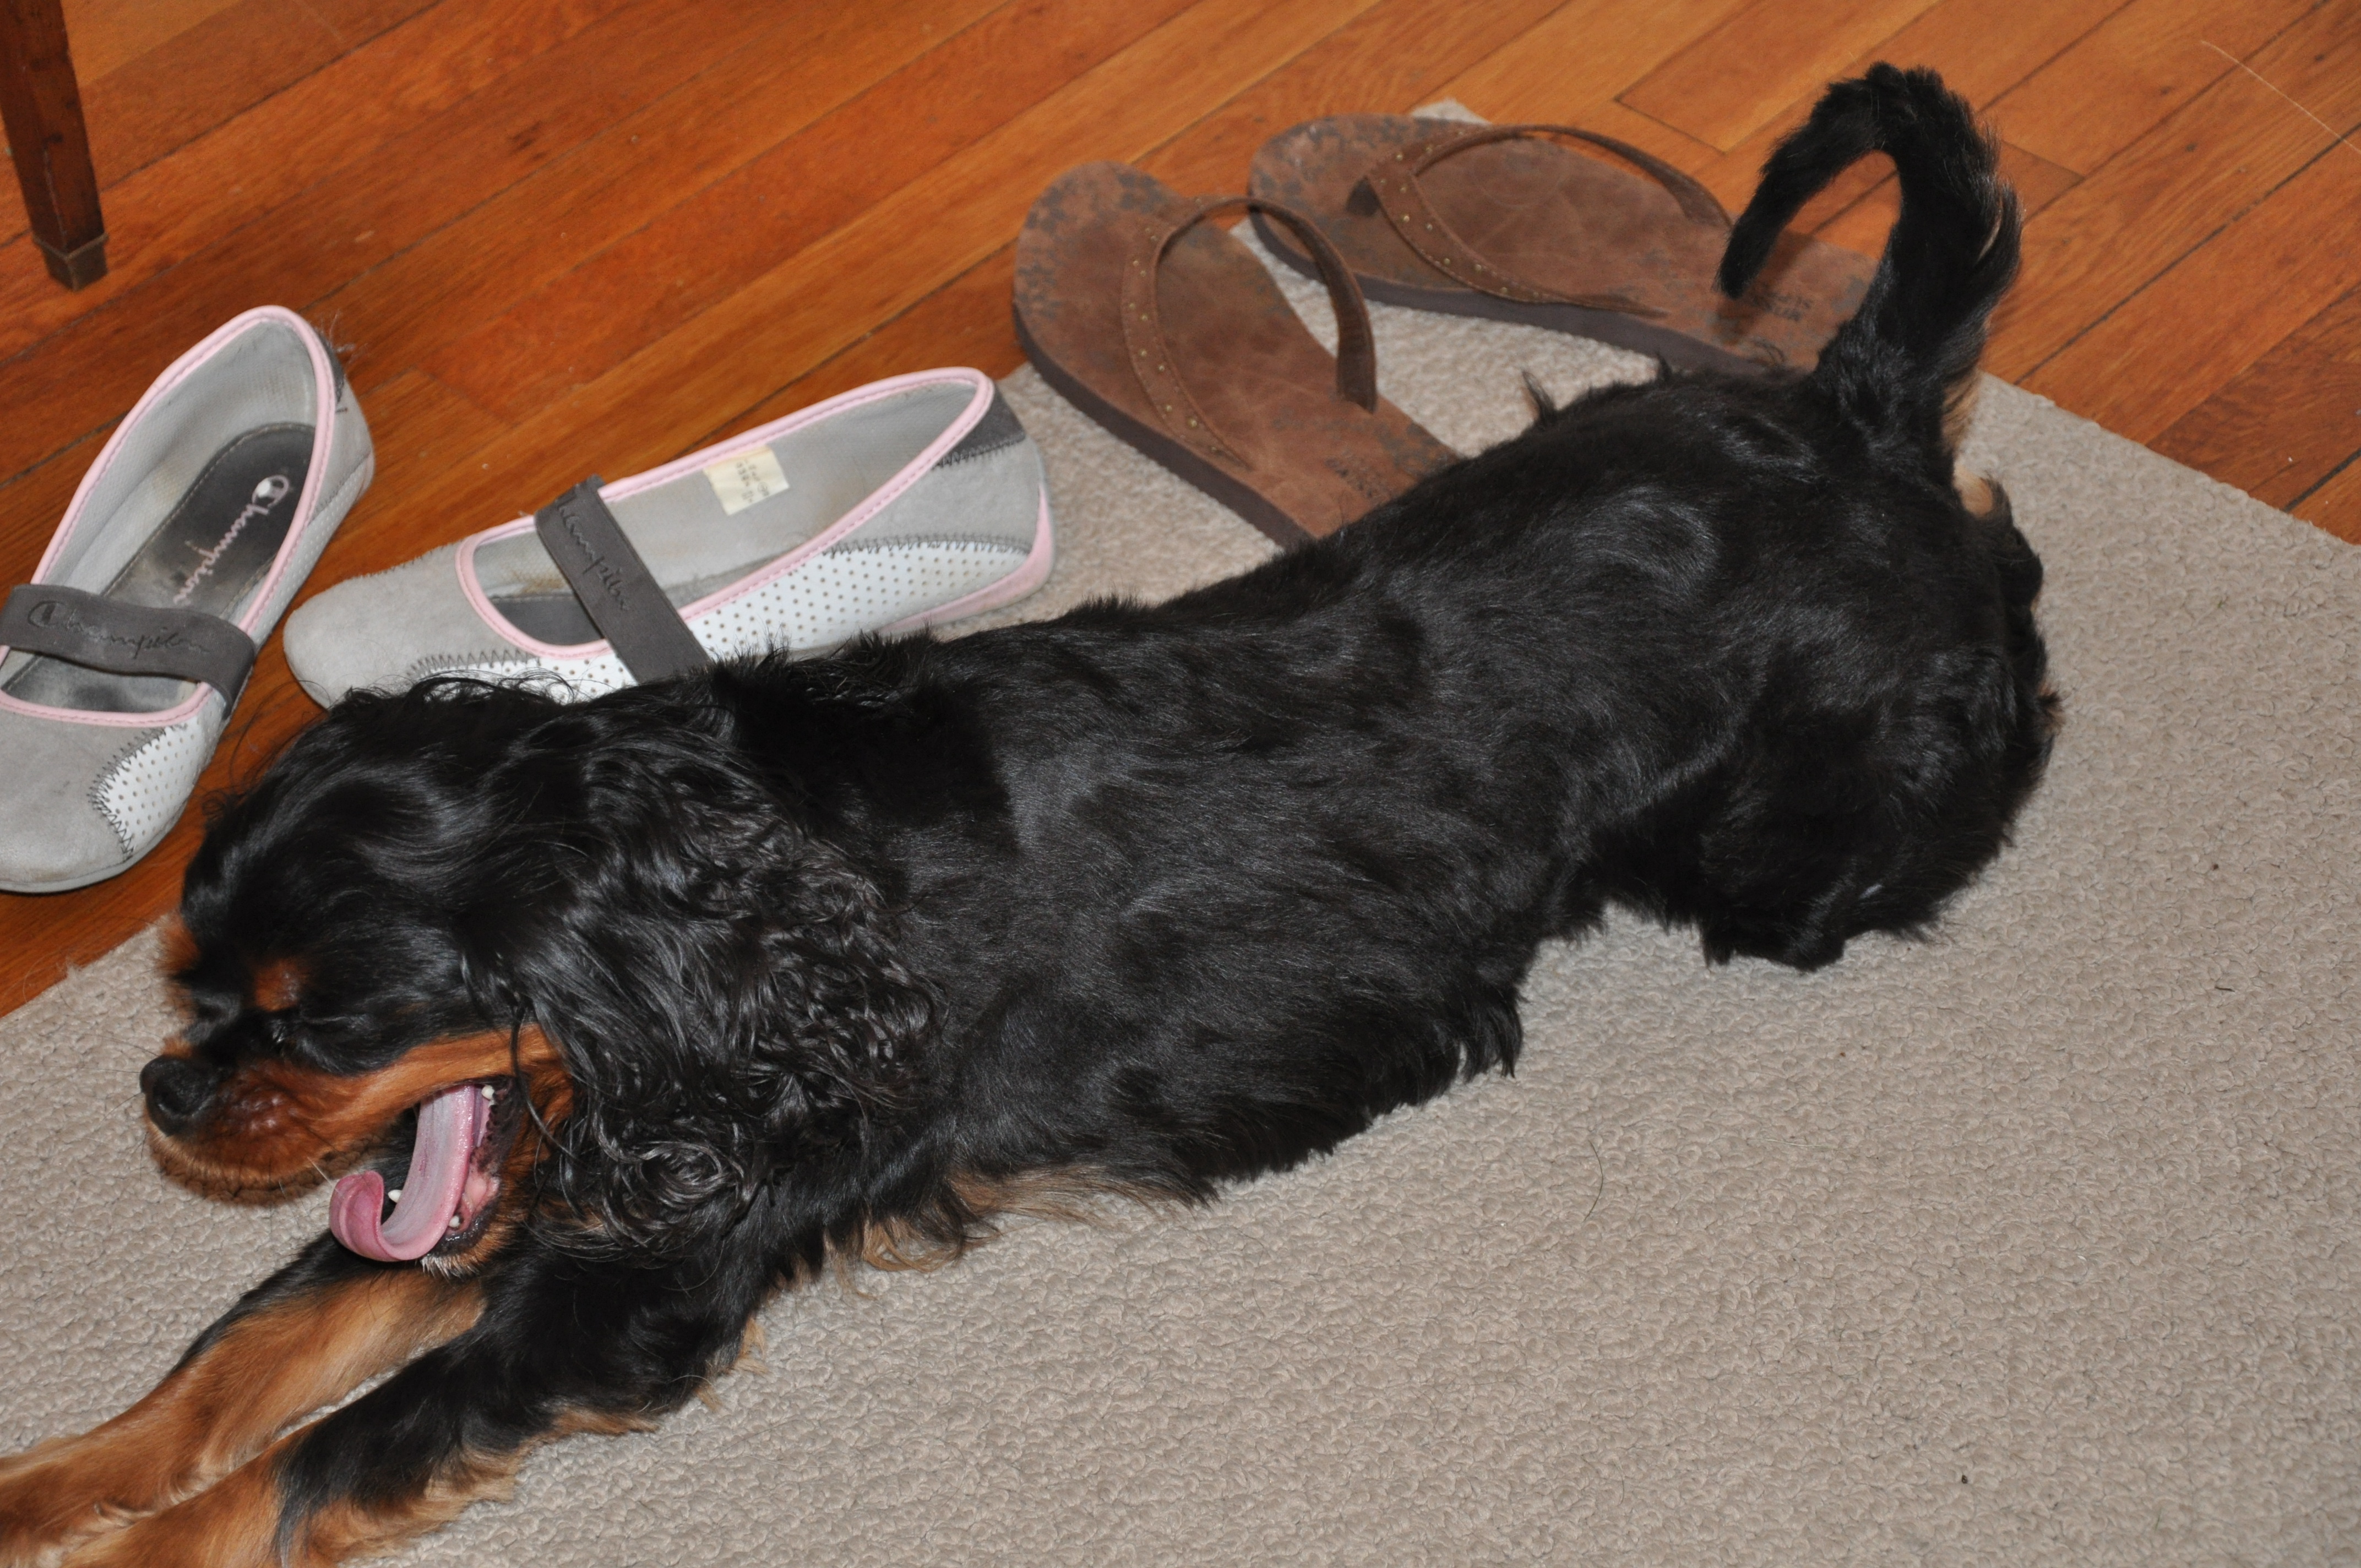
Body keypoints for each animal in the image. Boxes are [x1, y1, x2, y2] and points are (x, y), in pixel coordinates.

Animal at [0, 67, 2051, 1567]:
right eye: (195, 996)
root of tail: (1859, 414)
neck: (732, 880)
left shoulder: (639, 1269)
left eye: (324, 1020)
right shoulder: (546, 1182)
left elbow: (313, 1450)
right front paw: (47, 1483)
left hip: (1791, 850)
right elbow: (250, 1351)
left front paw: (124, 1552)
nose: (166, 1091)